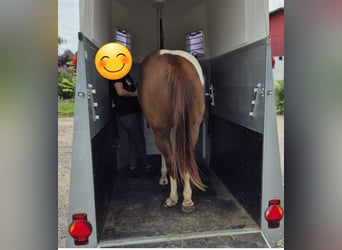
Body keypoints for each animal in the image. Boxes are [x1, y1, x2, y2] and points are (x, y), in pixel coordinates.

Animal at [138, 49, 206, 213]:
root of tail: (173, 61)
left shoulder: (162, 129)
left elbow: (167, 156)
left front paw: (163, 178)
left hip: (160, 131)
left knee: (169, 158)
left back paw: (173, 197)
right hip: (192, 128)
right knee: (186, 157)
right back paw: (187, 199)